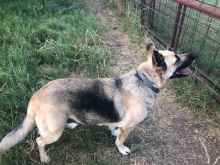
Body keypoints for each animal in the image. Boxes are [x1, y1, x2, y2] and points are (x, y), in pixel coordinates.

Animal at [0, 41, 196, 162]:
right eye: (177, 58)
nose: (195, 54)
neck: (144, 80)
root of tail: (34, 97)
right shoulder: (129, 127)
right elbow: (120, 141)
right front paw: (121, 149)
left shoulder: (120, 122)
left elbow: (115, 128)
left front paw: (114, 132)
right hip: (54, 132)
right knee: (40, 141)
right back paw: (44, 158)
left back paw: (71, 123)